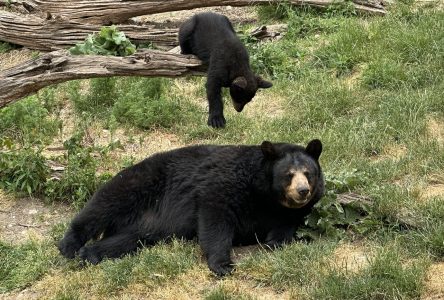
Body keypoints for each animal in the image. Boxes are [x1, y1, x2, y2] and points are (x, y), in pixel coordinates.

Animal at [58, 139, 322, 276]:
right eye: (289, 175)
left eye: (308, 173)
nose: (303, 191)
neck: (266, 196)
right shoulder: (227, 183)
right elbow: (215, 217)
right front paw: (223, 265)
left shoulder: (290, 213)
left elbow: (284, 229)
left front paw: (273, 243)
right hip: (141, 182)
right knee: (103, 204)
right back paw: (69, 246)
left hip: (142, 228)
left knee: (125, 240)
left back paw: (91, 254)